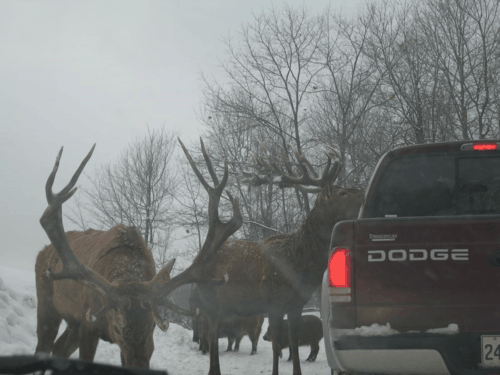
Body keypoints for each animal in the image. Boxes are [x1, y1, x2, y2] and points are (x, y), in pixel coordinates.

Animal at [34, 145, 193, 368]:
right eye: (117, 327)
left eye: (152, 327)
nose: (140, 368)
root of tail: (42, 252)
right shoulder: (88, 324)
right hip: (47, 302)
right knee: (44, 346)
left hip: (72, 319)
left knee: (59, 348)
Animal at [162, 142, 366, 375]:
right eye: (342, 192)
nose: (363, 190)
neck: (300, 266)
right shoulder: (274, 303)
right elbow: (277, 345)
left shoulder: (297, 304)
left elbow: (294, 343)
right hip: (211, 302)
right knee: (211, 337)